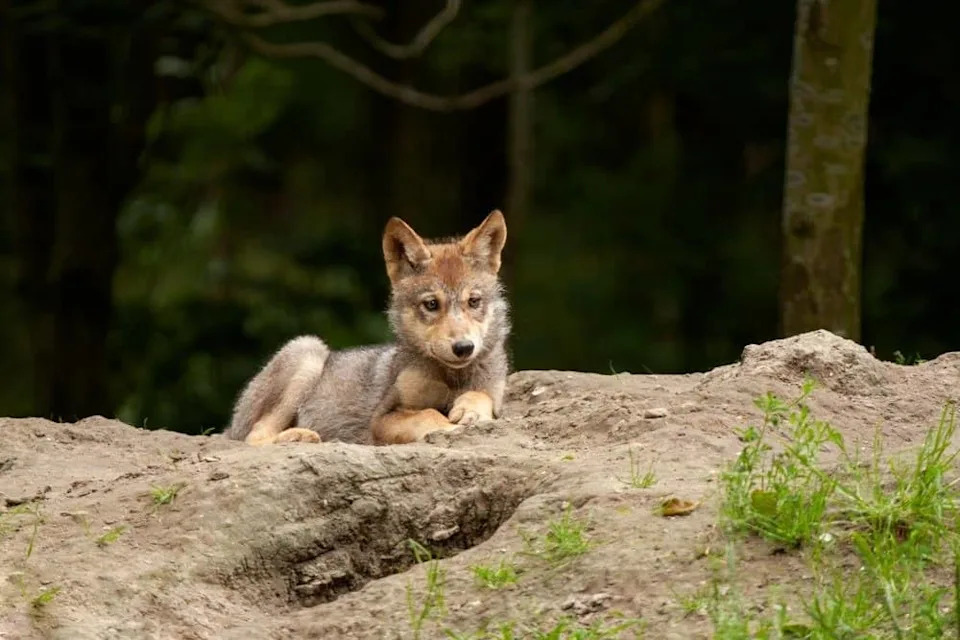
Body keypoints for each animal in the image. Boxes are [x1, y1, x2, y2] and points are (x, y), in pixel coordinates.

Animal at [224, 210, 511, 446]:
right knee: (254, 437)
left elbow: (480, 396)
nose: (463, 347)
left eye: (473, 301)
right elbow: (429, 415)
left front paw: (470, 411)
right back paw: (299, 436)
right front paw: (450, 427)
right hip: (308, 351)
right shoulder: (383, 417)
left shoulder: (492, 392)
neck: (451, 377)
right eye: (431, 304)